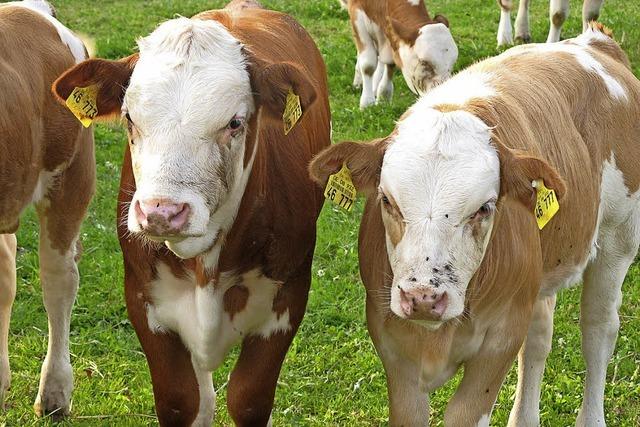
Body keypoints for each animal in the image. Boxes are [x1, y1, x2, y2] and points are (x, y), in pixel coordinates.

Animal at [54, 1, 330, 426]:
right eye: (129, 118)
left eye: (234, 122)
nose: (162, 212)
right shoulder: (144, 300)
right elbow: (181, 399)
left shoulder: (286, 302)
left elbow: (248, 399)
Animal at [312, 23, 640, 427]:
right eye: (386, 200)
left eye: (484, 208)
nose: (423, 298)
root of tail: (594, 41)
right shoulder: (393, 346)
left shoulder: (498, 342)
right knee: (538, 338)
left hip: (618, 239)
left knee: (598, 329)